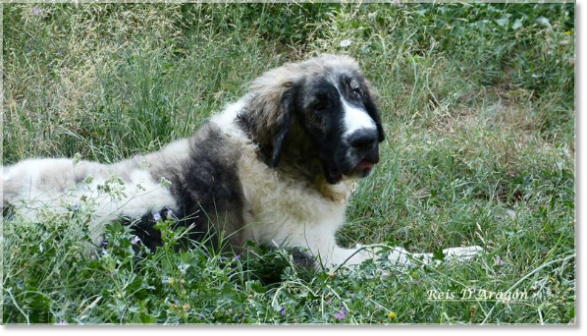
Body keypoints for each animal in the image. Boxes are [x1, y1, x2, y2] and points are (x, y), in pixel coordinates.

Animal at [1, 55, 482, 270]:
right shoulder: (321, 258)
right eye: (319, 107)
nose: (365, 139)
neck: (278, 162)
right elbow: (393, 254)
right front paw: (462, 255)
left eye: (356, 94)